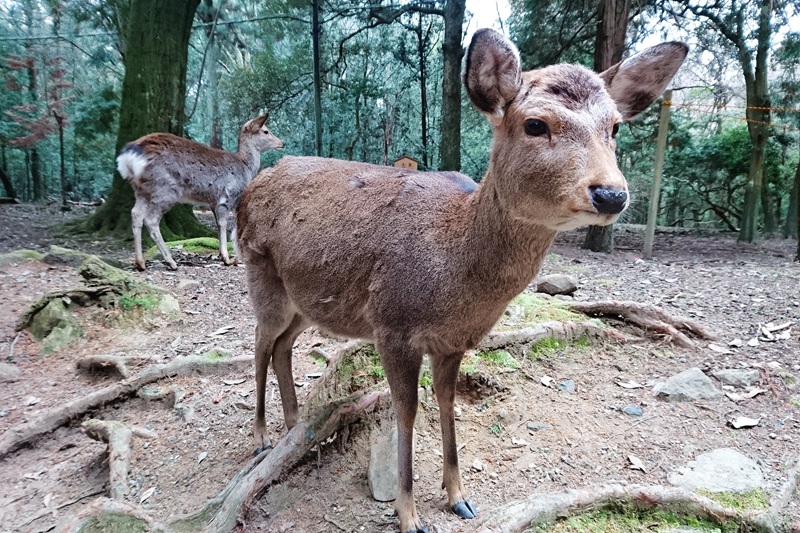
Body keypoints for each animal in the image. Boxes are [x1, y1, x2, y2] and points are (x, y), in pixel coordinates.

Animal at [115, 115, 284, 270]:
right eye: (266, 131)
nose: (282, 143)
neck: (246, 167)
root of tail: (128, 156)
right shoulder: (227, 196)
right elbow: (224, 224)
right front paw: (227, 259)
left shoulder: (213, 202)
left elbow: (218, 224)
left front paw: (221, 255)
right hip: (165, 189)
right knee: (150, 220)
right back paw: (171, 262)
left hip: (141, 191)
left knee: (136, 214)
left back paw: (140, 263)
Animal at [234, 30, 684, 532]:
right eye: (535, 124)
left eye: (616, 127)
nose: (610, 194)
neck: (456, 283)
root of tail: (247, 191)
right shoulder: (392, 326)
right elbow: (407, 411)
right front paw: (409, 515)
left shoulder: (453, 341)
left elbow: (447, 403)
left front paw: (459, 497)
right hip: (260, 271)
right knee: (259, 343)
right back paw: (261, 438)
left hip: (305, 301)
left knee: (283, 346)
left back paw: (295, 425)